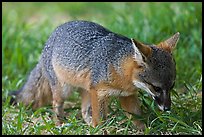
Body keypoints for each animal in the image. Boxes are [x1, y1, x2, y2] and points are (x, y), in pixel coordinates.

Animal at [9, 20, 178, 130]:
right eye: (156, 88)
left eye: (172, 86)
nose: (167, 108)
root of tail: (49, 40)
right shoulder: (99, 93)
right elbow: (100, 118)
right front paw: (101, 130)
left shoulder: (127, 96)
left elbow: (136, 117)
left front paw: (143, 130)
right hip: (64, 90)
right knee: (56, 104)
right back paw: (60, 124)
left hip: (86, 90)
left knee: (84, 111)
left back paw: (88, 126)